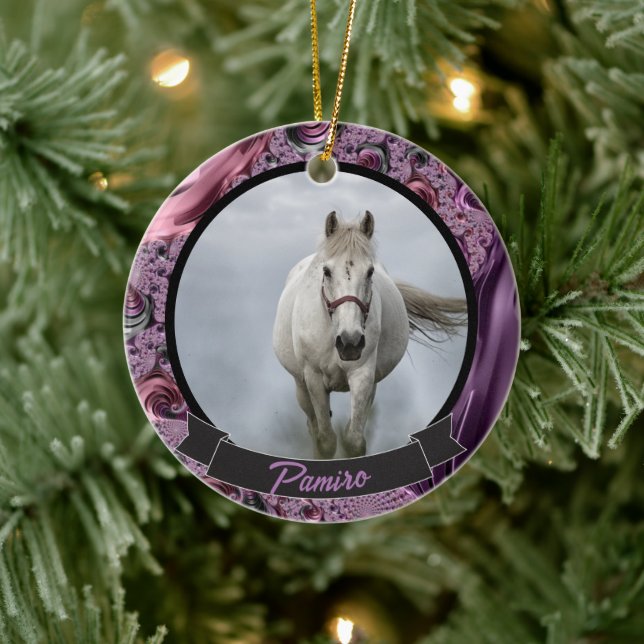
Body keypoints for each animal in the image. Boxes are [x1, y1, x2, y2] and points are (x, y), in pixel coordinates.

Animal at [272, 211, 467, 458]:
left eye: (370, 271)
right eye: (326, 271)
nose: (350, 342)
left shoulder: (363, 375)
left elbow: (354, 440)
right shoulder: (313, 378)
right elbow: (325, 441)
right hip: (301, 386)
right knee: (313, 427)